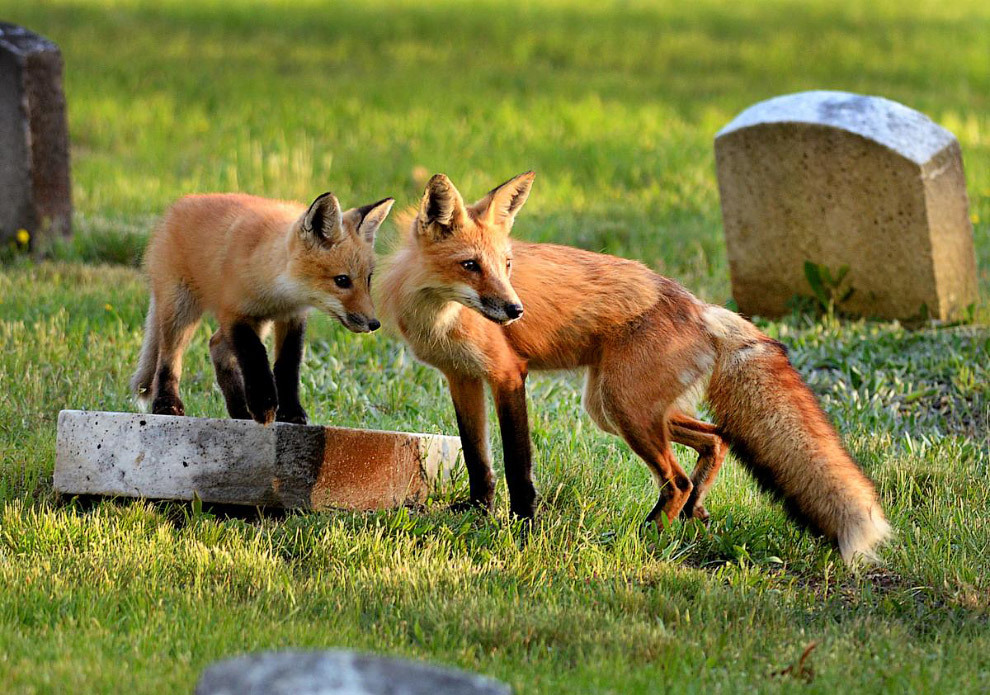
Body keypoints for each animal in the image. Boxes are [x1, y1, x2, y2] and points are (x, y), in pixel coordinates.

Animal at [133, 193, 396, 426]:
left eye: (368, 279)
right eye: (342, 280)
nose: (374, 324)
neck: (277, 292)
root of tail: (176, 207)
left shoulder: (291, 317)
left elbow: (288, 365)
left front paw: (290, 412)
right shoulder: (234, 313)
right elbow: (255, 355)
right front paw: (264, 404)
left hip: (259, 322)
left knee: (216, 346)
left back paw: (240, 410)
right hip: (181, 307)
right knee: (169, 358)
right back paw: (167, 403)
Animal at [378, 171, 892, 564]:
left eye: (506, 264)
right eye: (470, 265)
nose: (515, 310)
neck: (440, 319)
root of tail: (702, 307)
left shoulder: (506, 375)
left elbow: (517, 465)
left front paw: (523, 528)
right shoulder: (461, 377)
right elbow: (478, 460)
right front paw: (479, 514)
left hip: (623, 407)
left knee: (677, 479)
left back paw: (643, 536)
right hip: (616, 408)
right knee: (717, 439)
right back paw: (694, 513)